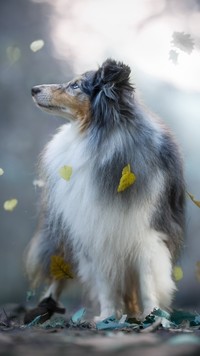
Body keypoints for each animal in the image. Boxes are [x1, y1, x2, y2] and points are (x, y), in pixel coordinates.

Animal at [24, 58, 185, 322]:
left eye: (76, 85)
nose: (34, 89)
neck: (97, 140)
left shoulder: (146, 232)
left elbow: (147, 281)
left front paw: (154, 316)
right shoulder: (94, 229)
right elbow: (105, 282)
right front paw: (107, 316)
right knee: (59, 272)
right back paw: (46, 307)